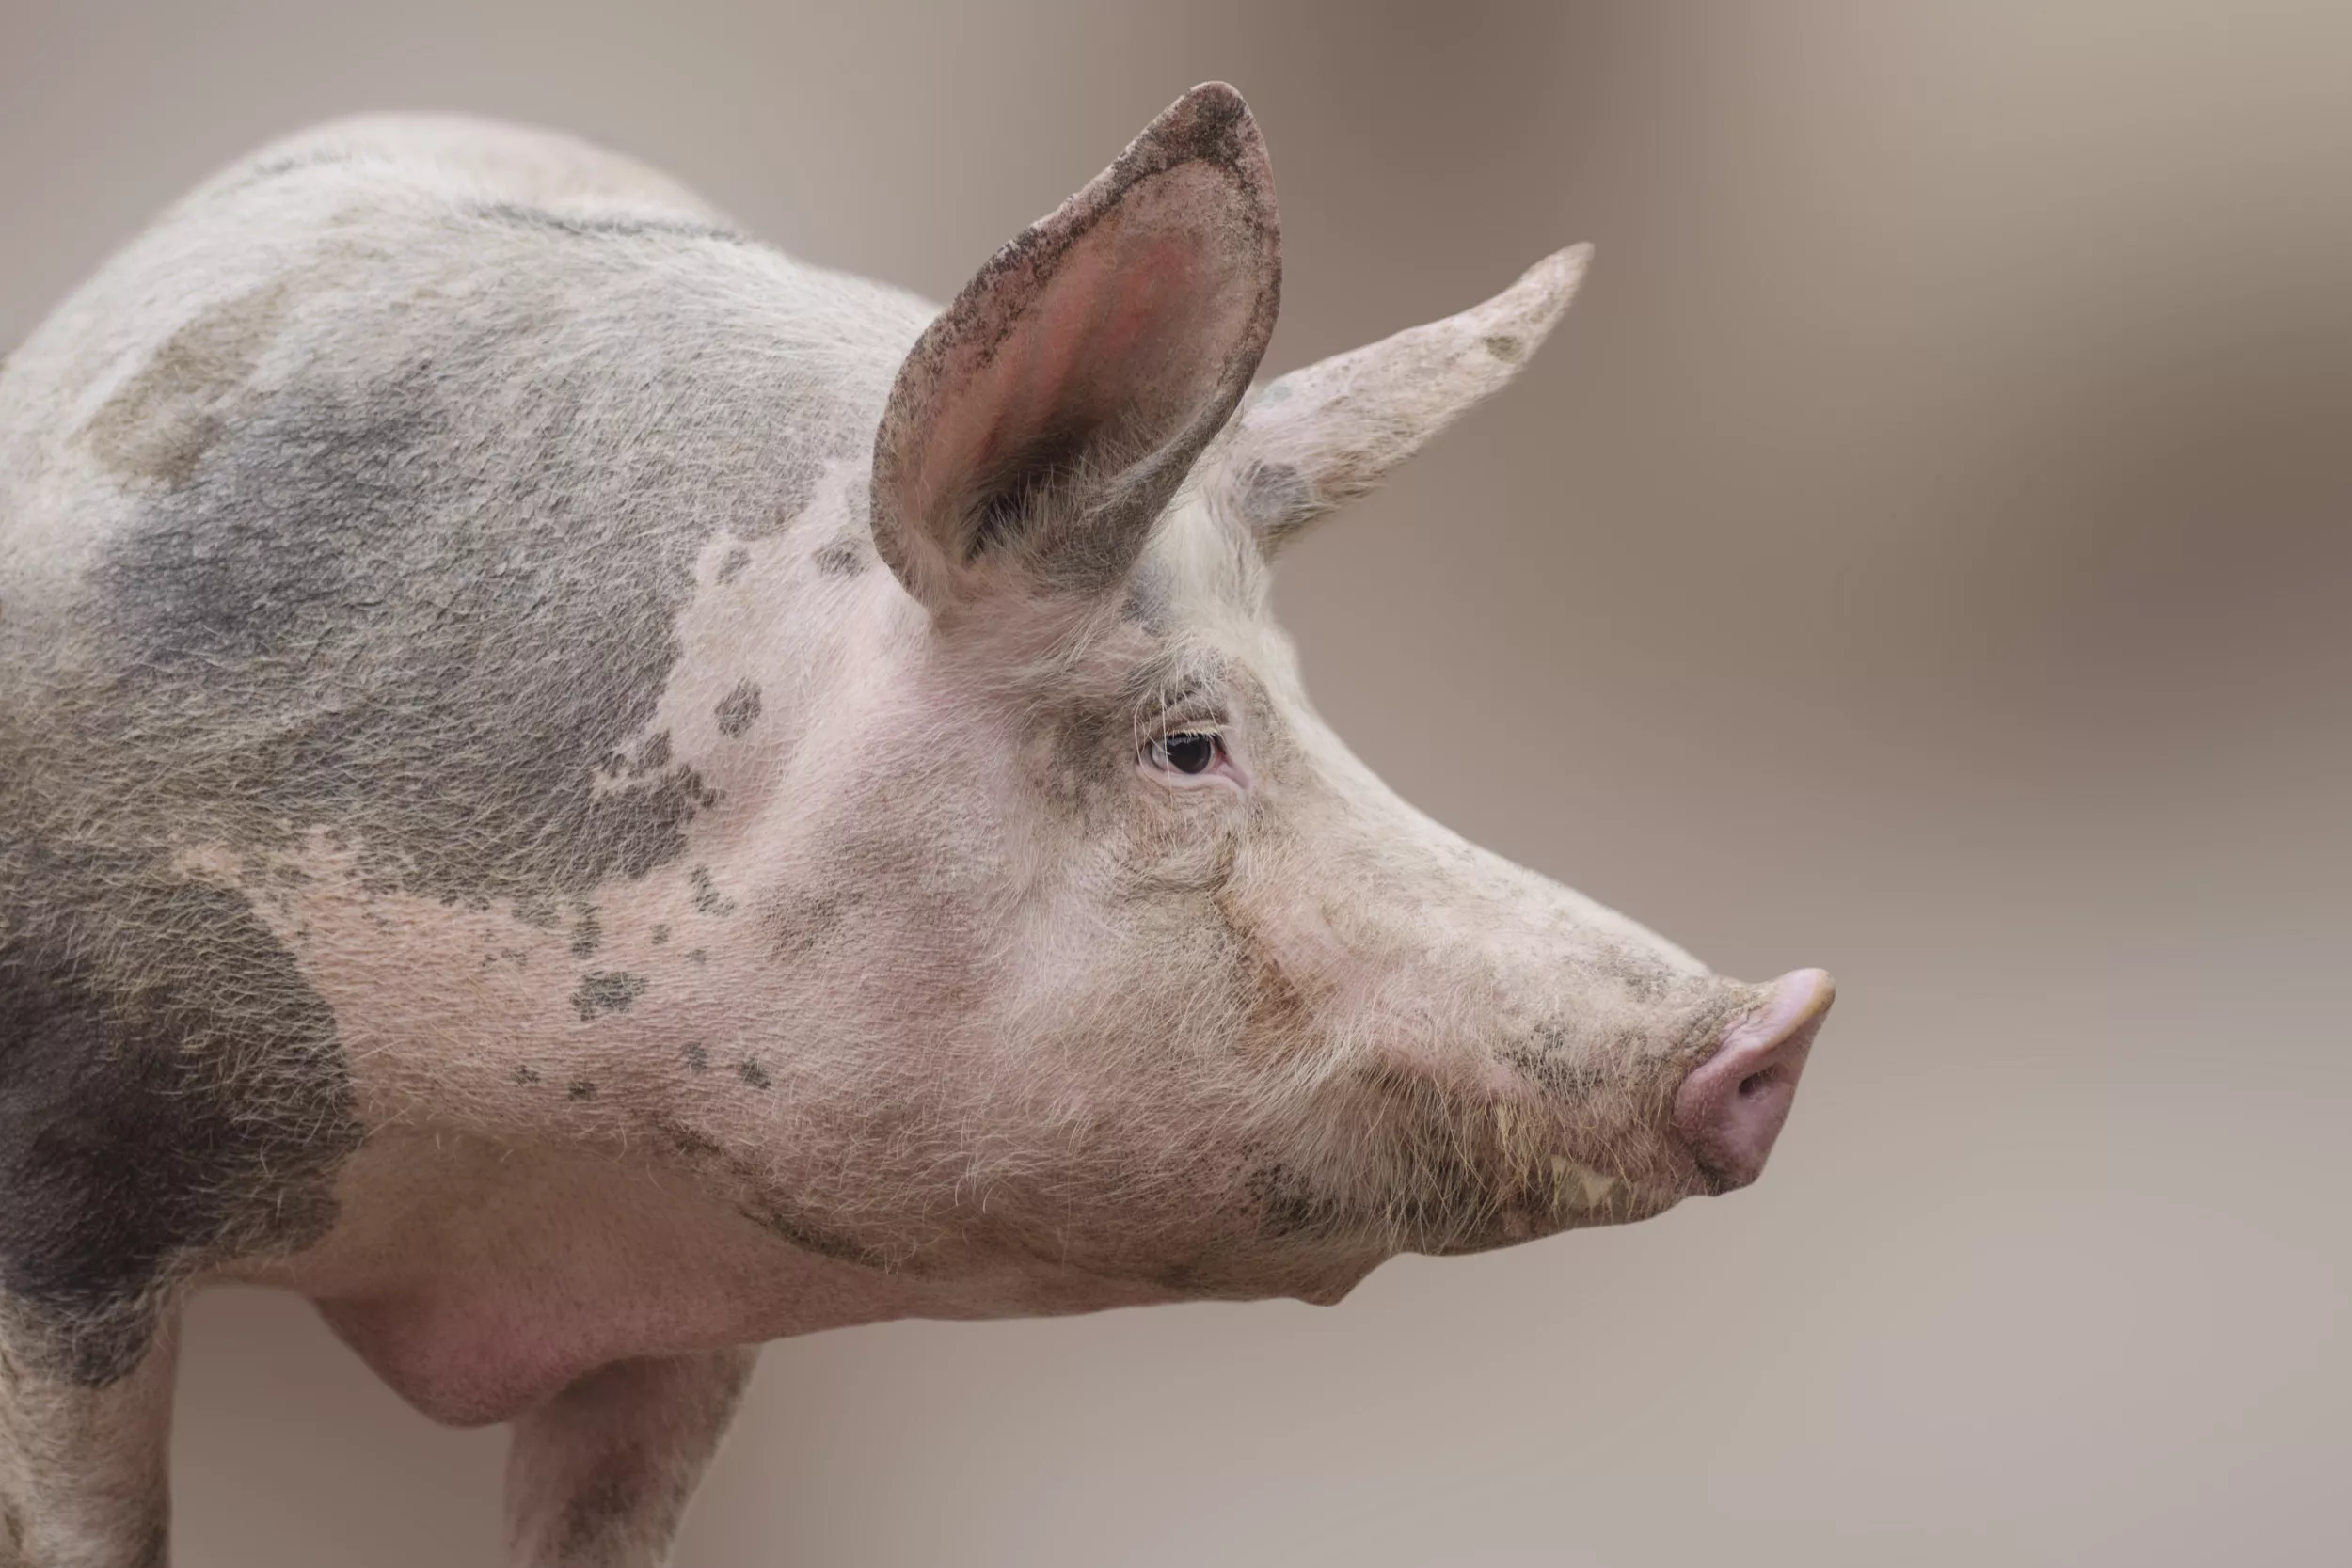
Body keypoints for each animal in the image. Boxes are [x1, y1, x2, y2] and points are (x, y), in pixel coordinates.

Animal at [0, 82, 1835, 1565]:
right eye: (1189, 742)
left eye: (1312, 700)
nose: (1779, 1021)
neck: (496, 1199)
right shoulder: (64, 1222)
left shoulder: (687, 1317)